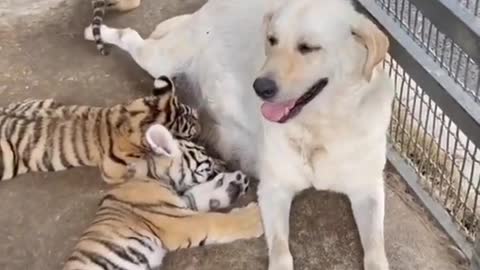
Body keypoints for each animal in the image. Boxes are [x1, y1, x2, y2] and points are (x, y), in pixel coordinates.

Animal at [86, 1, 394, 268]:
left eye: (308, 48)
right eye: (272, 40)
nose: (260, 87)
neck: (320, 126)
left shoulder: (368, 190)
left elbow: (376, 249)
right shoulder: (274, 189)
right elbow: (281, 252)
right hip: (161, 60)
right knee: (131, 36)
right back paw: (95, 31)